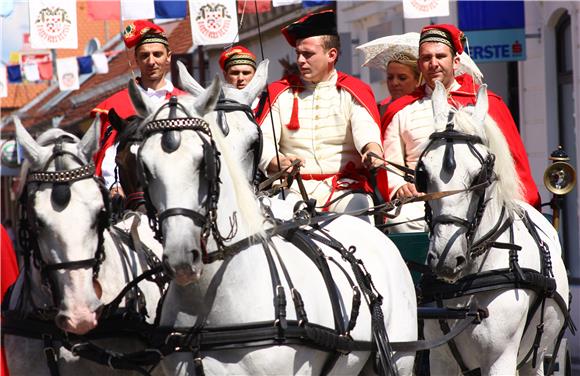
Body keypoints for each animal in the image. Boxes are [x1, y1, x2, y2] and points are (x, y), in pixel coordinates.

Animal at [420, 82, 568, 376]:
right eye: (423, 173)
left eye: (479, 175)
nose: (445, 259)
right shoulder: (439, 359)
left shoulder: (501, 359)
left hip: (536, 357)